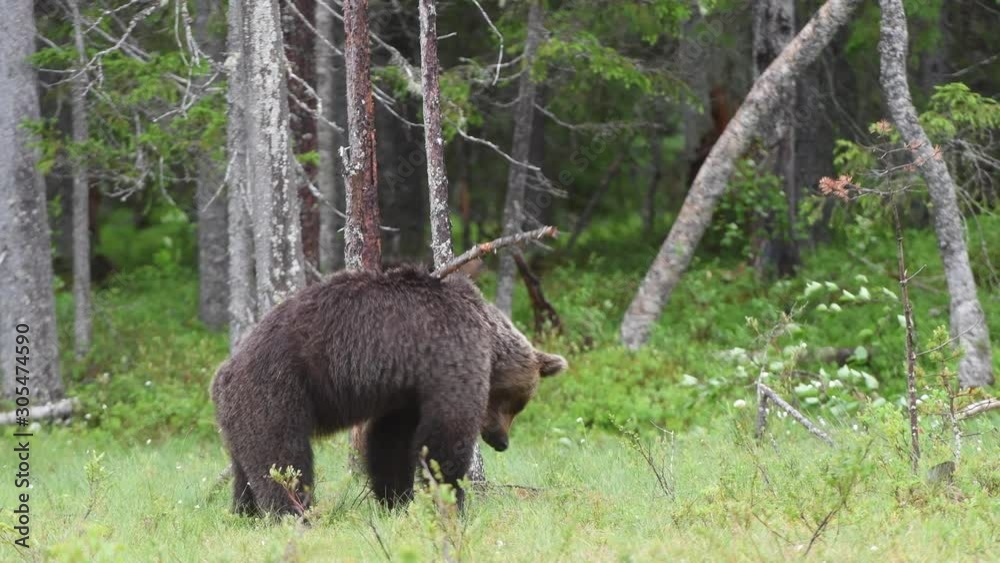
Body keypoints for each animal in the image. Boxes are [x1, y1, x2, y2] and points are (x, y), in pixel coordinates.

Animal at [210, 265, 567, 516]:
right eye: (515, 403)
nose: (501, 442)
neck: (489, 338)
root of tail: (222, 375)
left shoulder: (406, 390)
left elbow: (391, 441)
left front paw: (396, 500)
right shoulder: (451, 354)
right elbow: (445, 437)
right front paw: (450, 502)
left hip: (240, 414)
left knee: (246, 469)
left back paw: (245, 513)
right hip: (276, 391)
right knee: (283, 460)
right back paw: (295, 513)